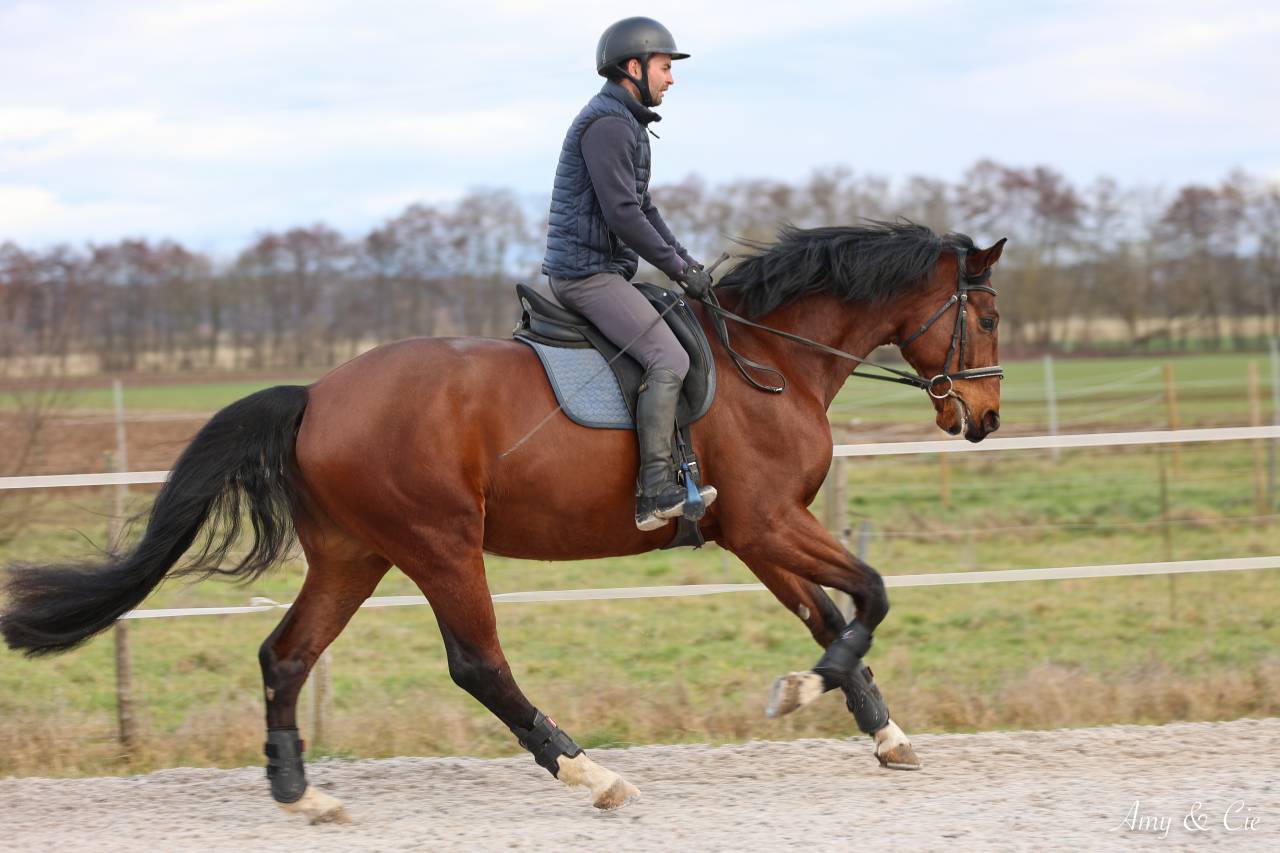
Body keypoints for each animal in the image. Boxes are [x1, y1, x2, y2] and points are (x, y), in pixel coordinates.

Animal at [1, 220, 1005, 823]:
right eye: (988, 315)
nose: (986, 420)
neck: (770, 358)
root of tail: (317, 394)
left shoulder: (756, 532)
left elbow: (831, 613)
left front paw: (878, 728)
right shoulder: (765, 523)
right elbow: (870, 596)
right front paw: (806, 687)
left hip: (355, 554)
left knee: (286, 655)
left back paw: (300, 793)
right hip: (440, 544)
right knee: (477, 662)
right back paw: (586, 770)